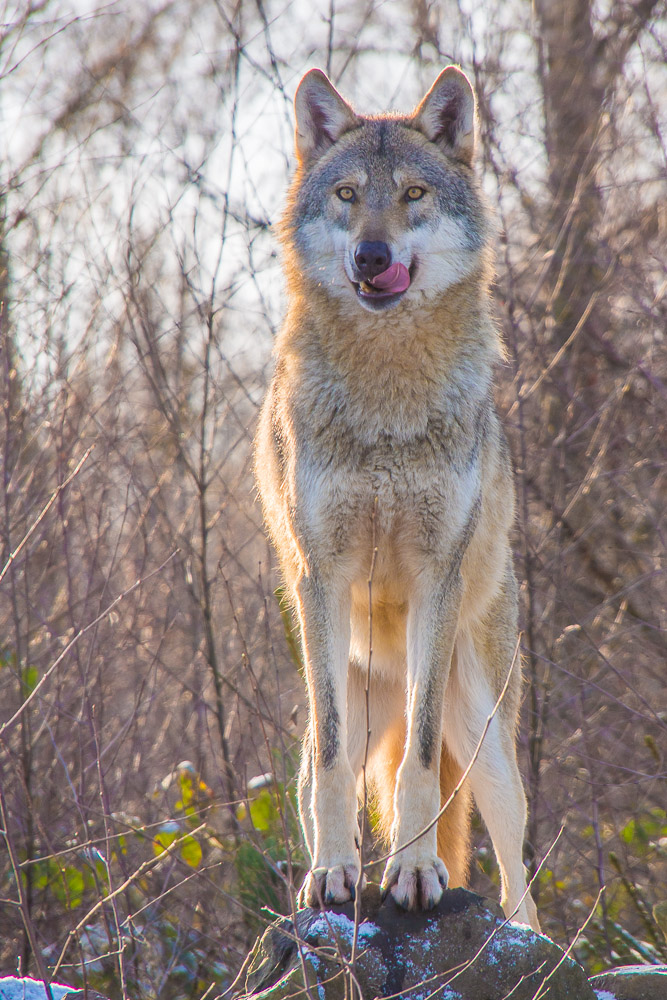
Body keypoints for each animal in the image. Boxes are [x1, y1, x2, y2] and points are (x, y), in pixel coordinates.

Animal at [256, 66, 544, 928]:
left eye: (413, 193)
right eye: (349, 194)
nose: (371, 252)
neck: (386, 400)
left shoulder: (432, 580)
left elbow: (418, 762)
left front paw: (413, 872)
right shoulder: (320, 577)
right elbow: (333, 767)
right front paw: (332, 876)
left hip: (484, 732)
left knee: (517, 879)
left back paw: (520, 935)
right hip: (344, 707)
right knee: (331, 767)